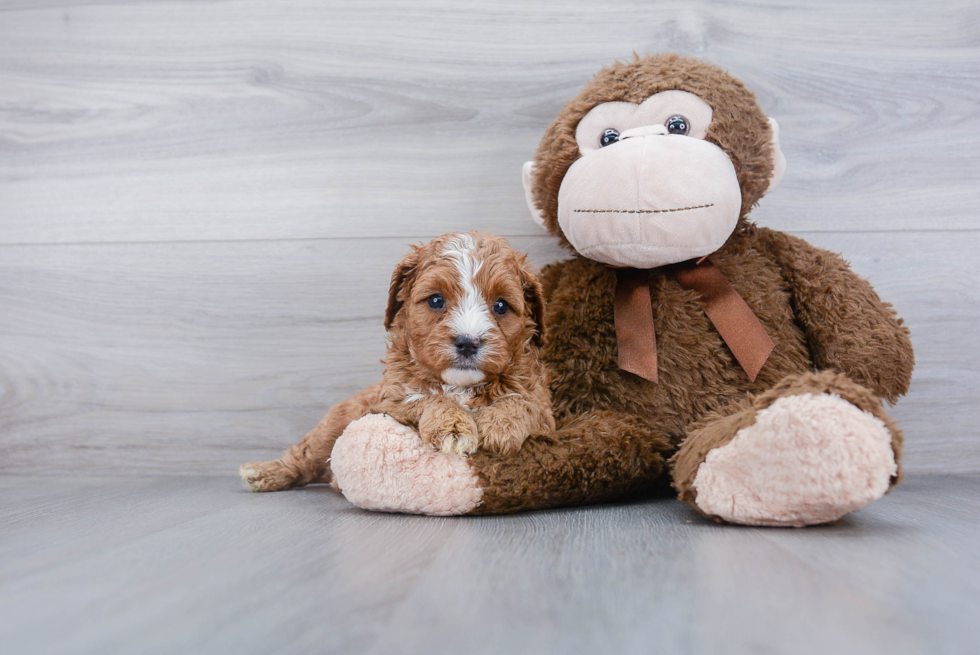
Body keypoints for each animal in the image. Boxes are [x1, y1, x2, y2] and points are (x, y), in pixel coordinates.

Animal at [240, 231, 556, 492]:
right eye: (436, 300)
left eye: (500, 305)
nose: (467, 342)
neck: (460, 386)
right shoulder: (389, 402)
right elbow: (428, 398)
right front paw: (453, 427)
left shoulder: (546, 413)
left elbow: (523, 402)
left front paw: (501, 425)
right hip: (332, 425)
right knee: (304, 455)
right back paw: (263, 473)